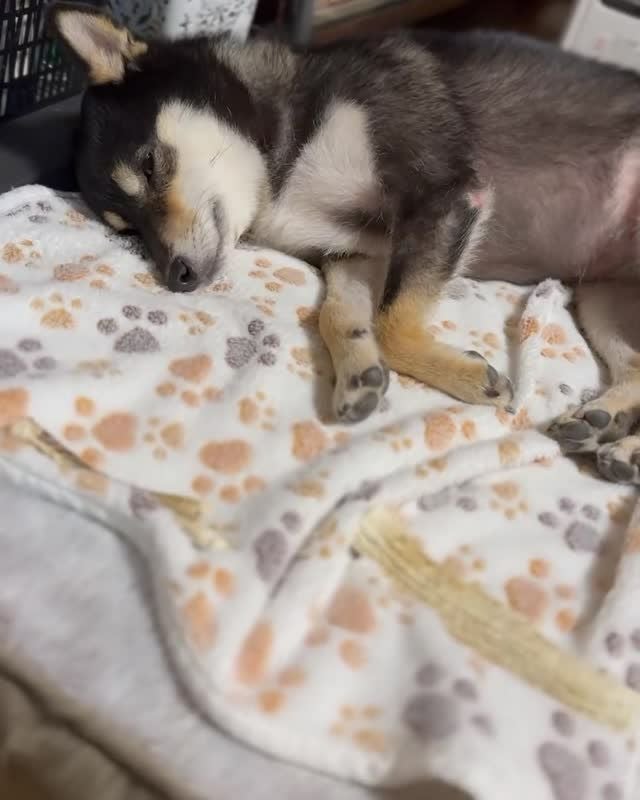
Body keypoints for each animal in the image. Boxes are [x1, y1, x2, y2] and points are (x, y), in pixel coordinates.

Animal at [48, 3, 640, 485]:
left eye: (150, 165)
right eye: (128, 230)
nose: (176, 276)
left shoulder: (444, 197)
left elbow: (394, 323)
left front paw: (468, 377)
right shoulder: (357, 252)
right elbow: (341, 315)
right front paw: (359, 372)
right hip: (601, 301)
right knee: (633, 365)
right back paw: (610, 425)